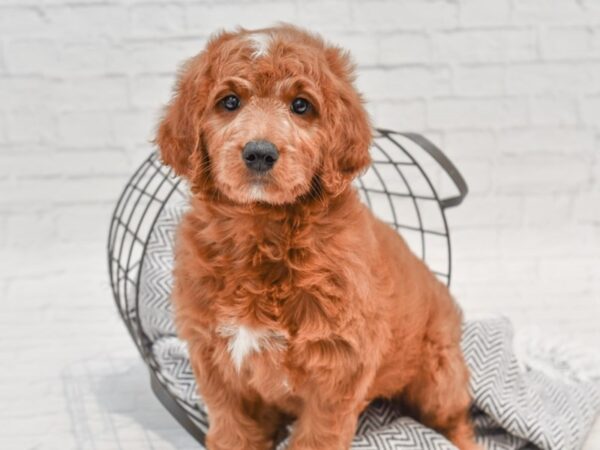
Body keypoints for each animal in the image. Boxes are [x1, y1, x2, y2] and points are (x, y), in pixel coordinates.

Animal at [157, 24, 480, 450]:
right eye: (229, 102)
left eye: (301, 106)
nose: (259, 153)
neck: (262, 229)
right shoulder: (217, 362)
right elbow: (233, 432)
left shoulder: (338, 369)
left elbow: (317, 435)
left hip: (439, 376)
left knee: (457, 419)